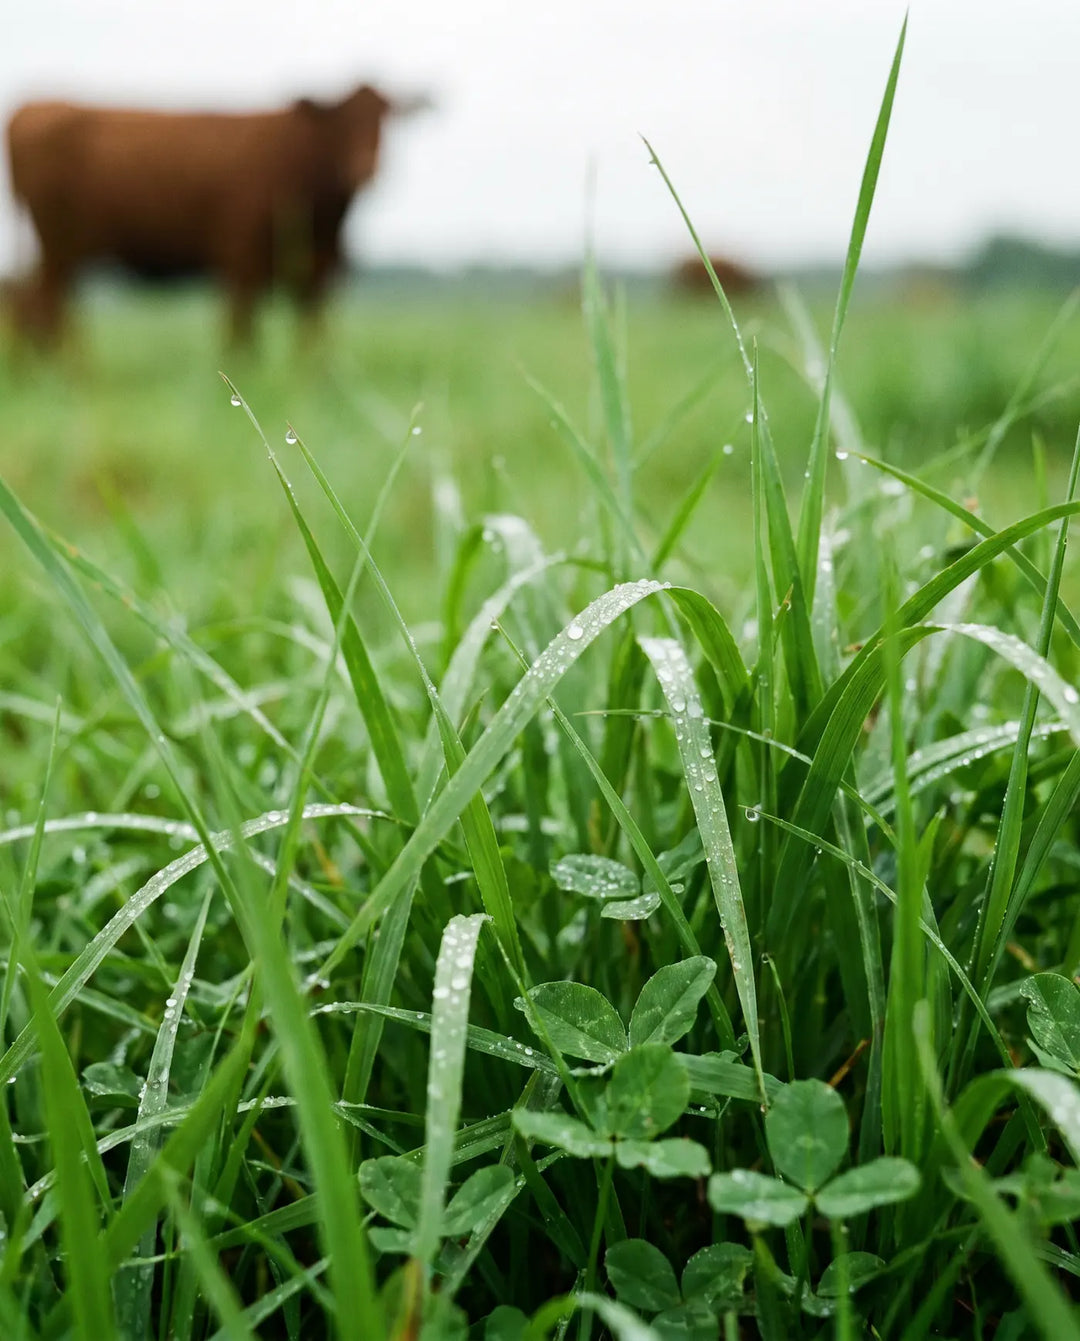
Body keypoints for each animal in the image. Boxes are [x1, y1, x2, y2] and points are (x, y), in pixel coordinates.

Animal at [5, 84, 428, 346]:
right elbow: (241, 338)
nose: (366, 169)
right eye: (343, 121)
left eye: (388, 119)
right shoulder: (241, 261)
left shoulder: (317, 273)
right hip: (58, 245)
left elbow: (311, 341)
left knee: (36, 304)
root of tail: (28, 108)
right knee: (49, 307)